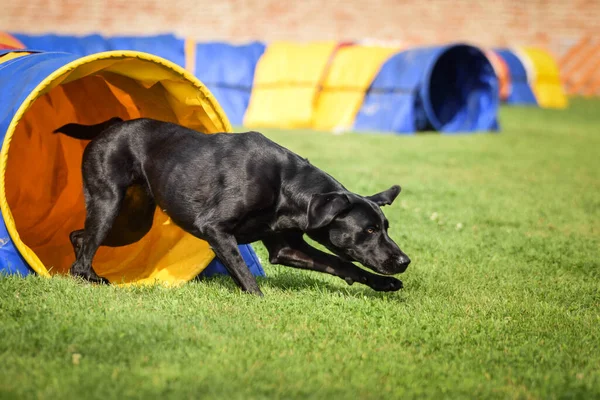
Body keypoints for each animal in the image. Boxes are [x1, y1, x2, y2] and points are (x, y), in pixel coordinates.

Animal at [54, 117, 410, 296]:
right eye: (369, 230)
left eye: (385, 228)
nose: (404, 261)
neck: (286, 186)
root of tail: (110, 125)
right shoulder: (215, 228)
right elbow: (245, 275)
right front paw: (260, 302)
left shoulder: (287, 248)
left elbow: (341, 264)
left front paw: (384, 284)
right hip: (110, 203)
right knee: (85, 247)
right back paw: (89, 279)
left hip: (130, 221)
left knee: (79, 236)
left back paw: (90, 275)